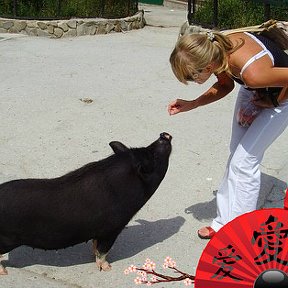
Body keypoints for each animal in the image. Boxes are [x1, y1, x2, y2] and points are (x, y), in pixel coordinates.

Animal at [0, 133, 171, 274]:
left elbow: (95, 245)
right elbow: (103, 250)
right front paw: (108, 268)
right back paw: (5, 273)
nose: (164, 134)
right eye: (153, 156)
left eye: (146, 148)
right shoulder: (112, 229)